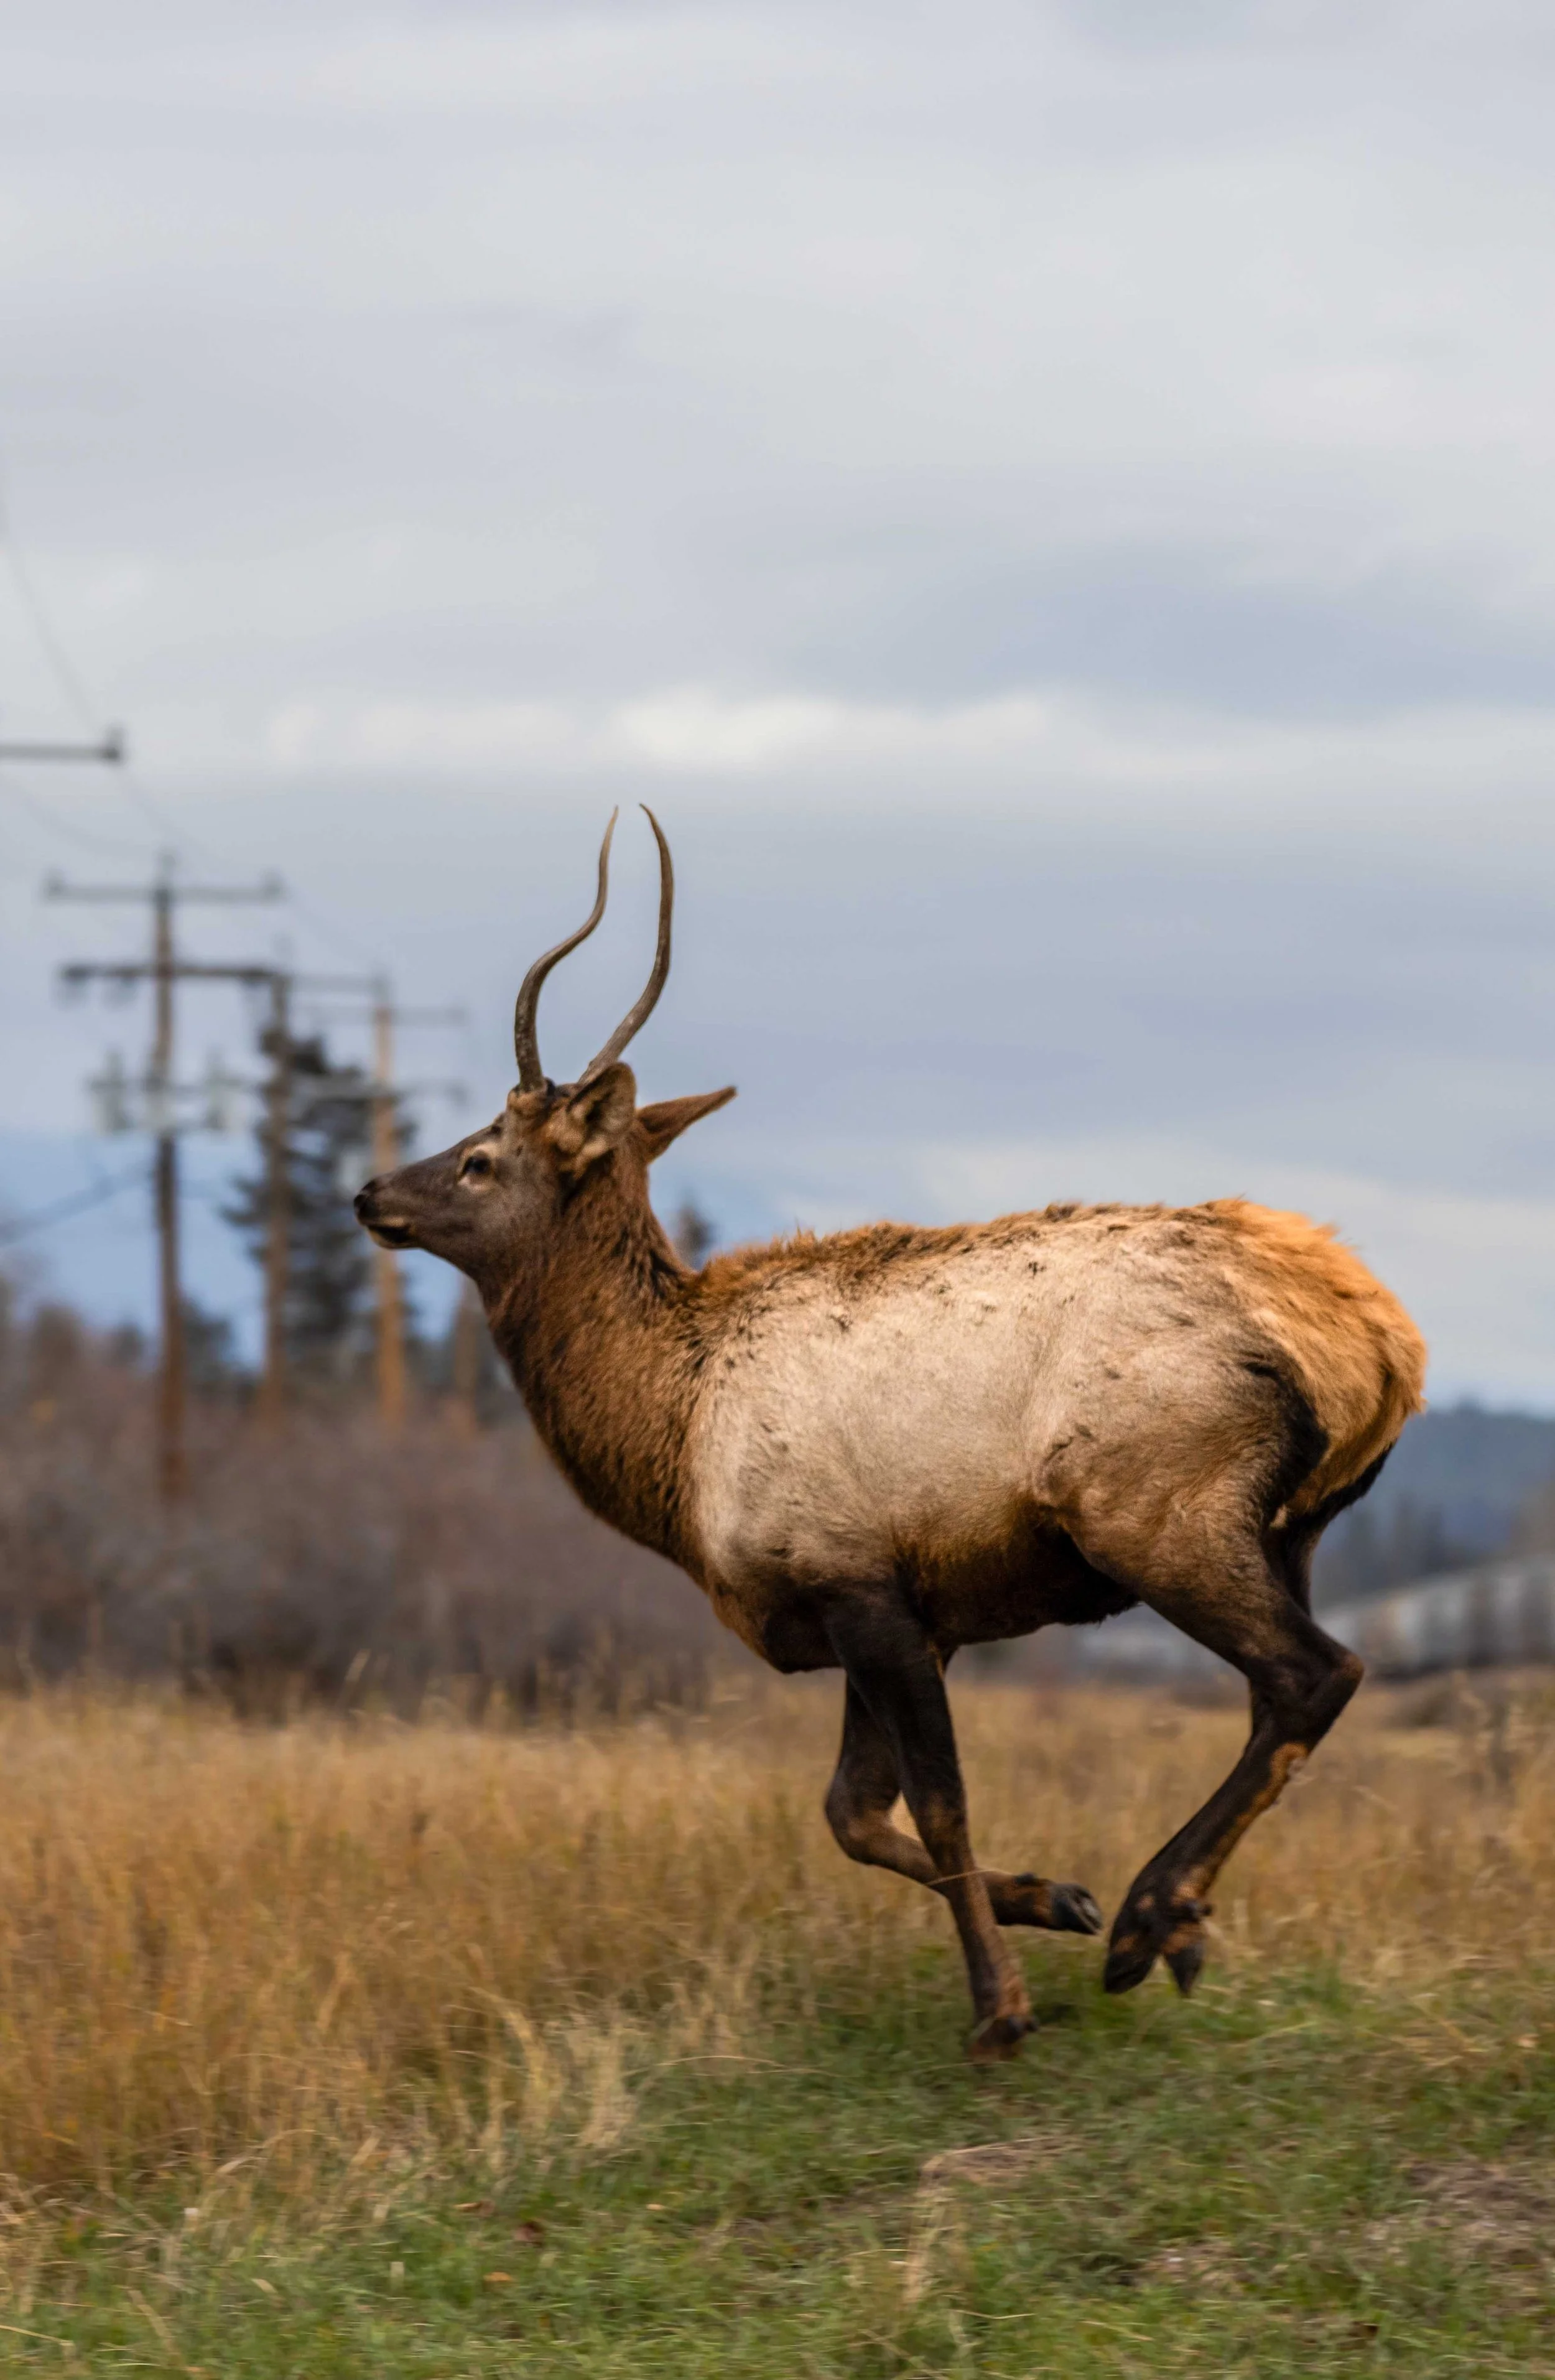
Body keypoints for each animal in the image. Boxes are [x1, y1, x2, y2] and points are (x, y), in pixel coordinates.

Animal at [355, 809, 1426, 2059]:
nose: (372, 1192)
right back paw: (1176, 1921)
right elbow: (853, 1815)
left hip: (1156, 1509)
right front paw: (1055, 1894)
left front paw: (1003, 2005)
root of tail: (1381, 1346)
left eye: (481, 1157)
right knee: (1278, 1693)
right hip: (1291, 1529)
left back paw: (1148, 1917)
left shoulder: (863, 1586)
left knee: (1316, 1672)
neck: (673, 1442)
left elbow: (936, 1805)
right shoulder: (916, 1615)